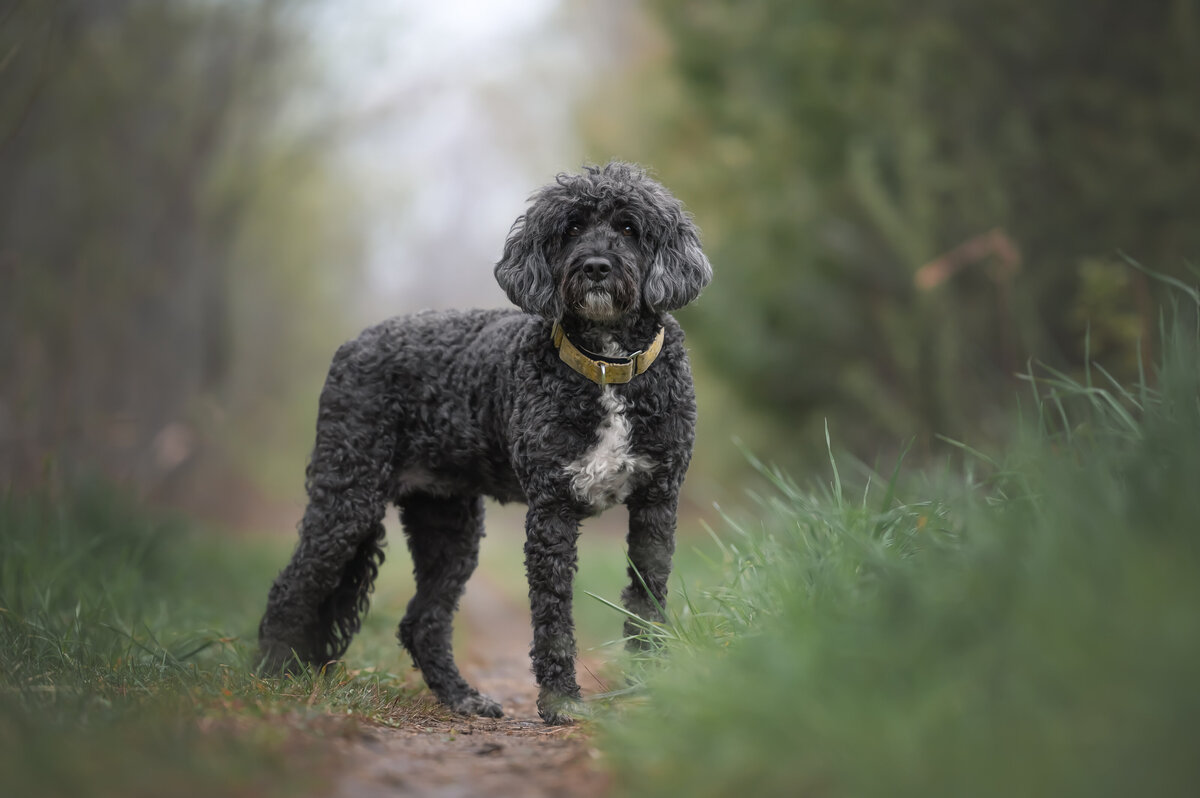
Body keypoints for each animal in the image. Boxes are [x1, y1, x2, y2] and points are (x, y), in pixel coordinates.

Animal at [260, 162, 710, 720]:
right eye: (571, 228)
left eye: (629, 227)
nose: (596, 267)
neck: (606, 368)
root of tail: (351, 345)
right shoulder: (552, 508)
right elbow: (553, 614)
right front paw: (562, 700)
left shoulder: (656, 501)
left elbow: (647, 600)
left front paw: (647, 687)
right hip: (347, 498)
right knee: (291, 588)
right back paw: (271, 676)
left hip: (447, 521)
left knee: (423, 621)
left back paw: (463, 698)